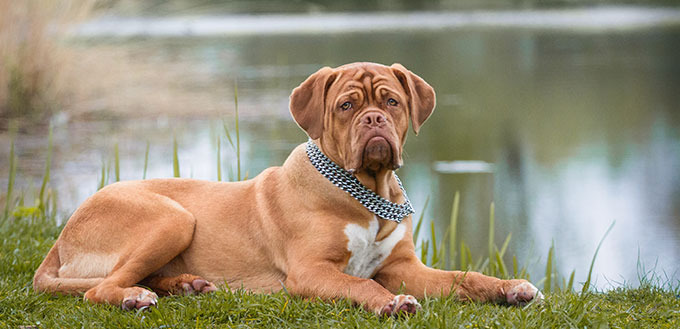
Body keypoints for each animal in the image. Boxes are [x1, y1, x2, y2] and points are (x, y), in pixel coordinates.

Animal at [33, 62, 540, 316]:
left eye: (392, 101)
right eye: (346, 106)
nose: (374, 120)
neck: (366, 193)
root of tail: (62, 235)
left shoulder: (404, 268)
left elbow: (464, 278)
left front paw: (509, 288)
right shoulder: (312, 272)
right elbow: (362, 285)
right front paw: (392, 304)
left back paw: (186, 285)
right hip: (172, 217)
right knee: (101, 288)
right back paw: (135, 297)